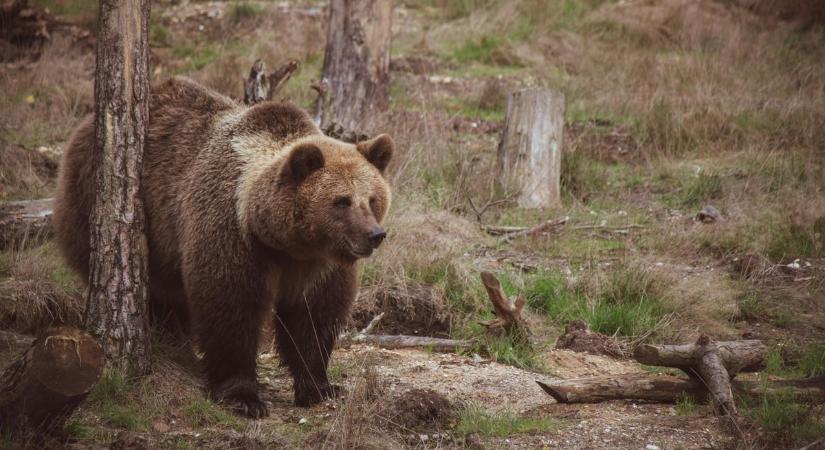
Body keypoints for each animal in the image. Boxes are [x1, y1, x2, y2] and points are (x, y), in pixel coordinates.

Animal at [53, 77, 394, 418]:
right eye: (342, 201)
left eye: (372, 199)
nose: (375, 234)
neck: (284, 242)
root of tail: (85, 125)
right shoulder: (231, 233)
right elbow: (229, 306)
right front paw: (242, 396)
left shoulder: (318, 265)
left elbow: (314, 316)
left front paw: (319, 387)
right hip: (101, 202)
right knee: (157, 290)